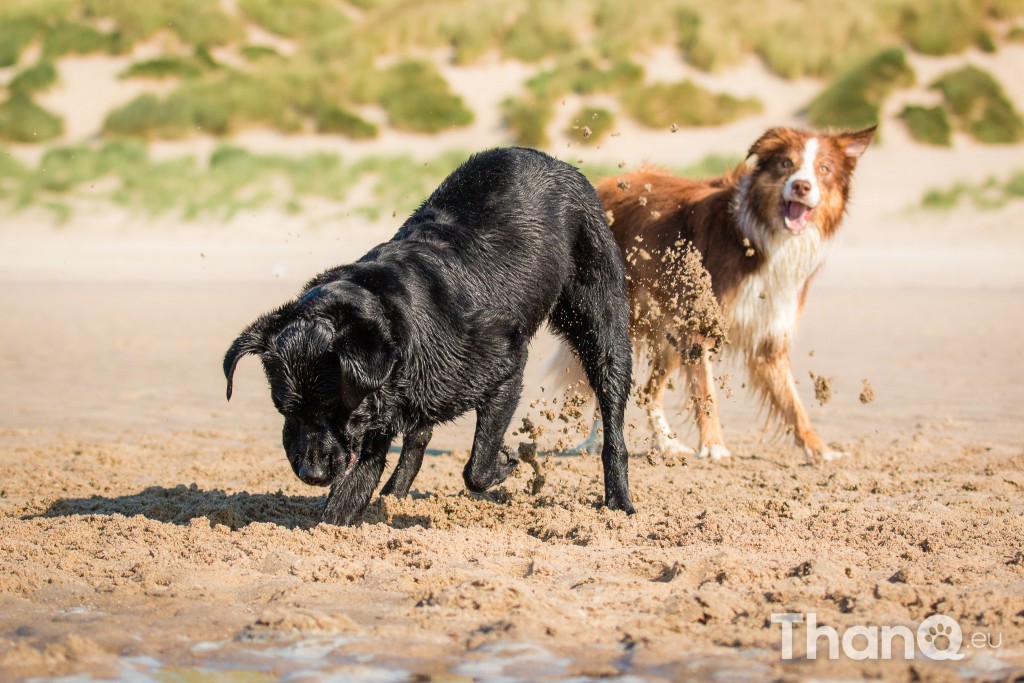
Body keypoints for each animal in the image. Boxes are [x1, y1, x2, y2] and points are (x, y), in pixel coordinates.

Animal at [226, 147, 630, 528]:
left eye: (335, 410)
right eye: (284, 409)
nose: (312, 474)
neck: (389, 313)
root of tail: (550, 160)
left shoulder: (505, 368)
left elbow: (477, 467)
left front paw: (507, 462)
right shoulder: (373, 423)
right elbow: (344, 502)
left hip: (602, 326)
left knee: (613, 421)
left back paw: (619, 501)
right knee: (419, 435)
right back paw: (394, 496)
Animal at [557, 125, 876, 462]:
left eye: (824, 169)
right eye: (786, 164)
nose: (802, 186)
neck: (762, 237)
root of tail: (605, 185)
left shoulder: (768, 336)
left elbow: (793, 402)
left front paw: (819, 450)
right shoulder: (700, 324)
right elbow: (707, 393)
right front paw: (713, 446)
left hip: (669, 330)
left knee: (648, 391)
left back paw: (667, 443)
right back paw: (595, 441)